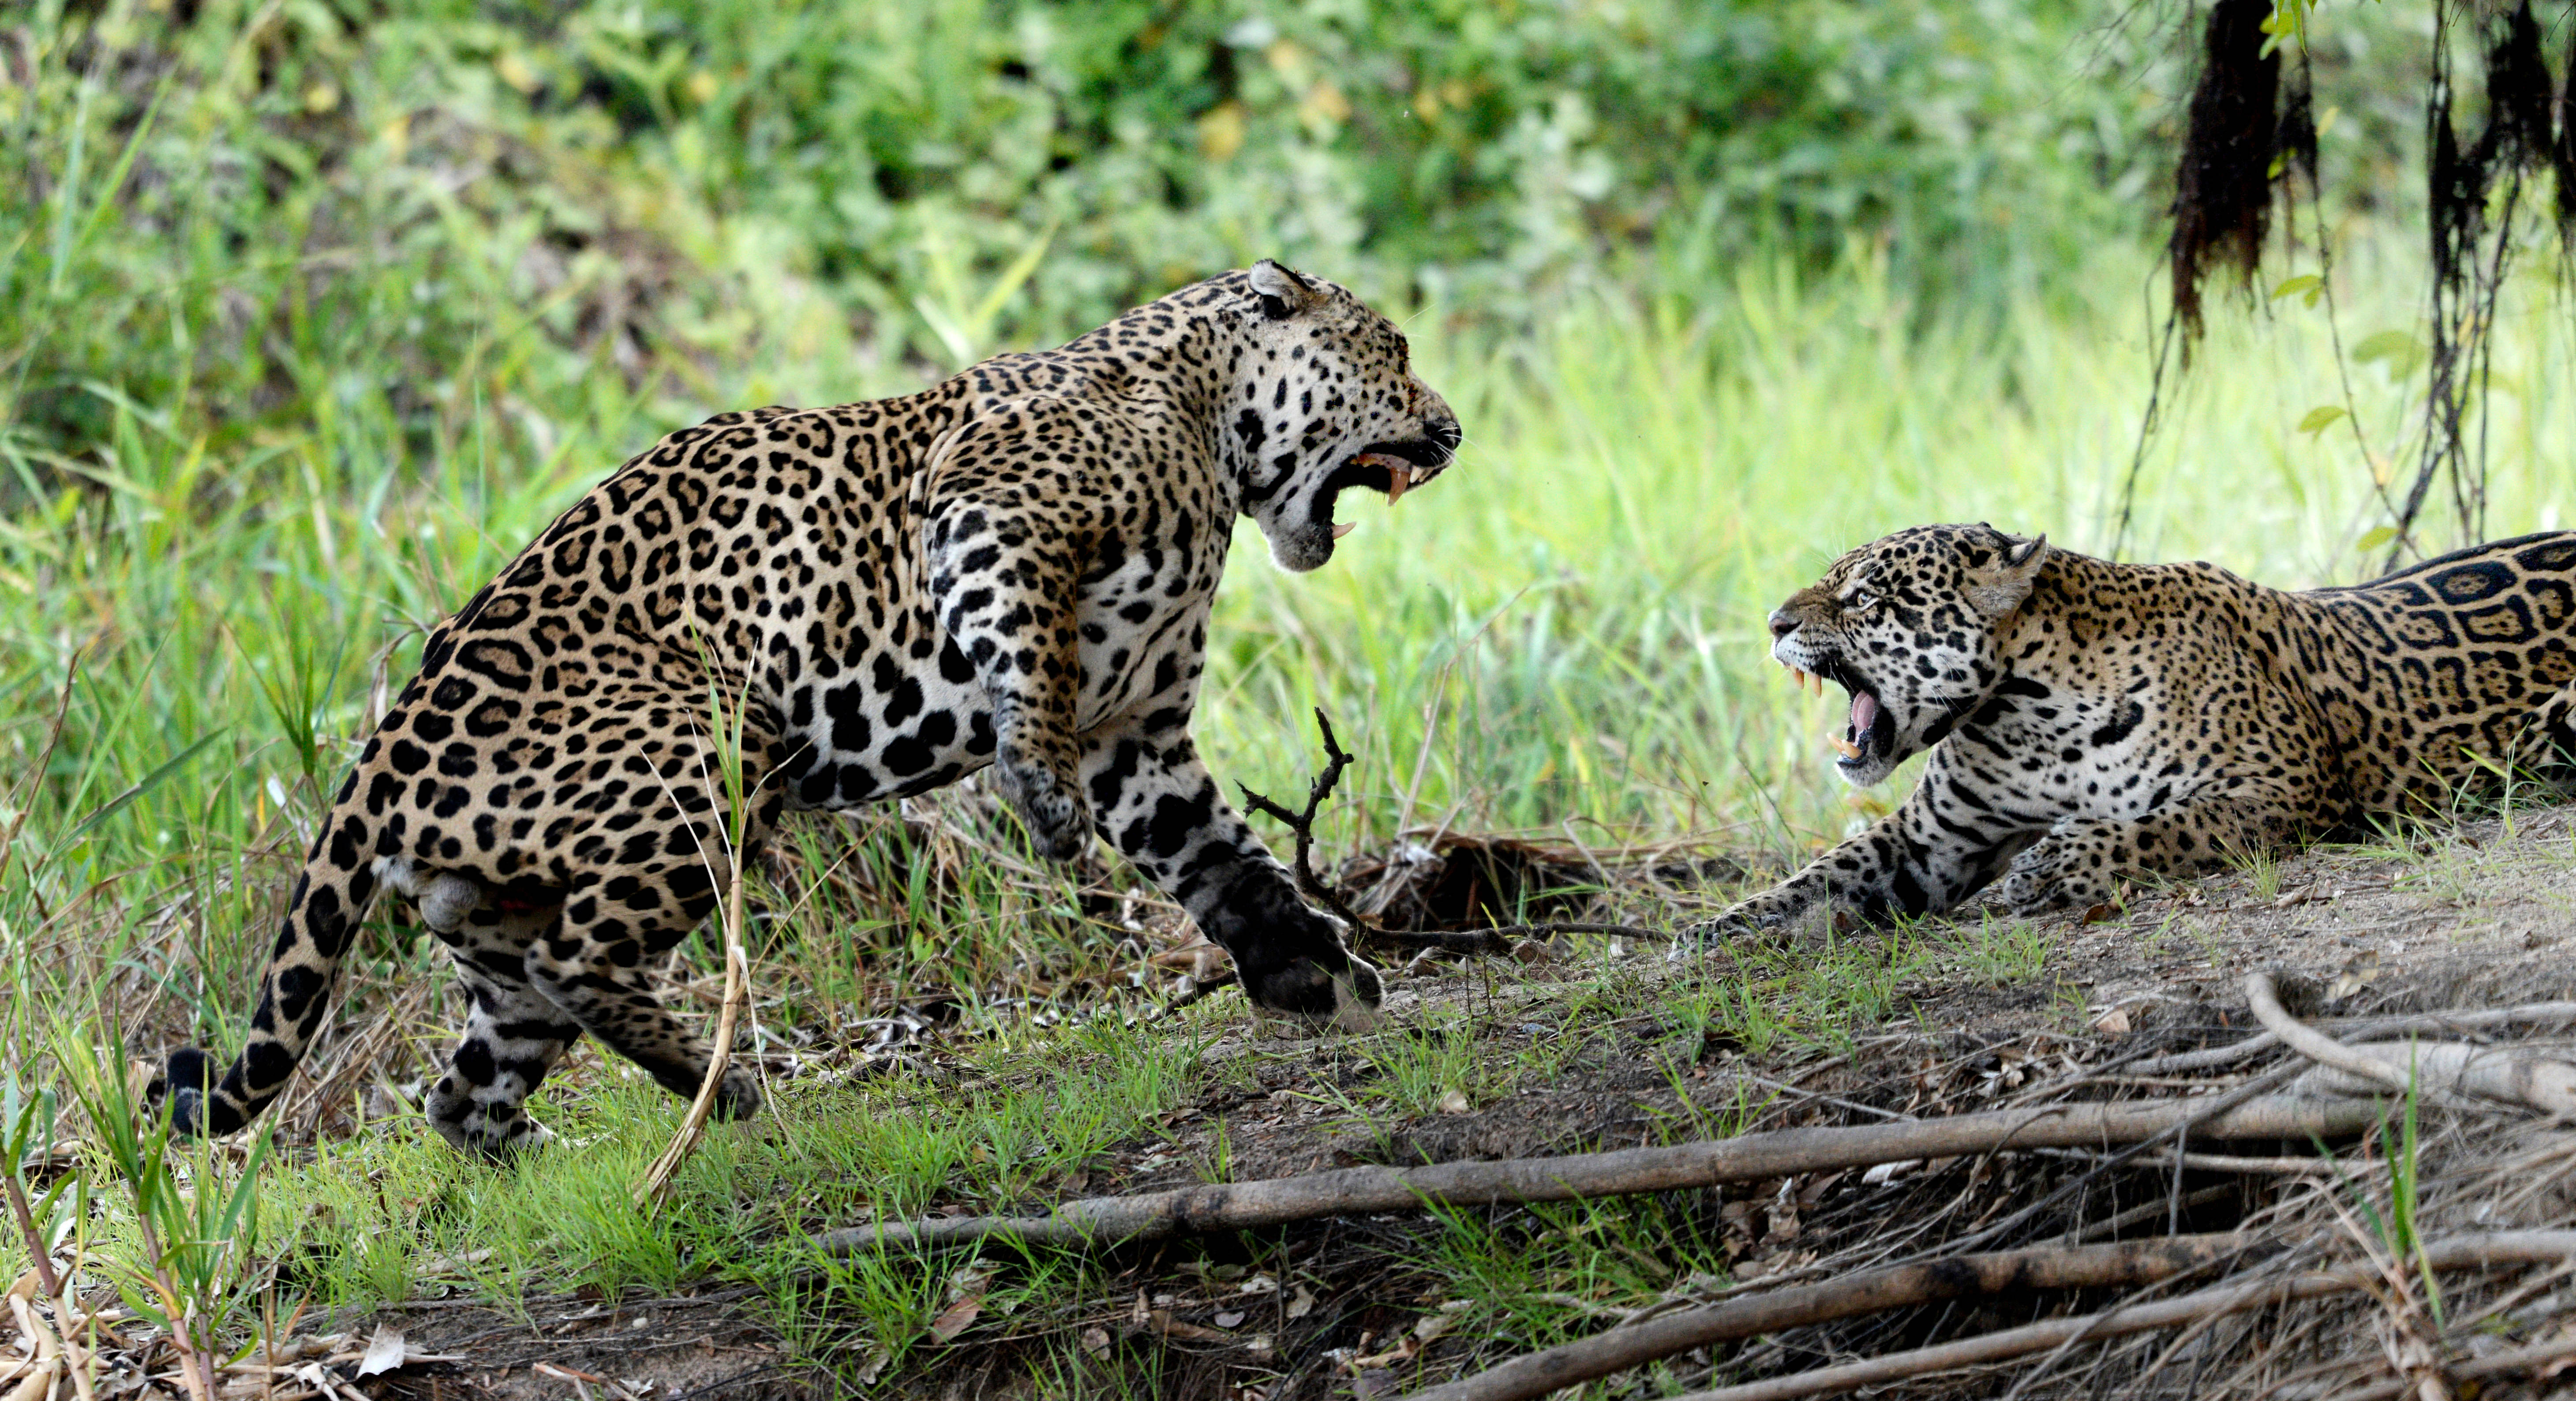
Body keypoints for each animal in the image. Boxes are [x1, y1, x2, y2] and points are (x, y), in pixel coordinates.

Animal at [154, 260, 1460, 1156]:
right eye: (1391, 347)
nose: (1449, 430)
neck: (1208, 432)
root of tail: (383, 748)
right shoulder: (994, 516)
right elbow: (1031, 668)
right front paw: (1043, 804)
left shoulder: (1135, 730)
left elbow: (1225, 860)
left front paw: (1309, 969)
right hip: (712, 748)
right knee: (580, 959)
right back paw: (734, 1091)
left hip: (494, 916)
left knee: (465, 1083)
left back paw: (559, 1162)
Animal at [1690, 523, 2576, 939]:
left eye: (1867, 599)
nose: (1773, 624)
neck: (2028, 717)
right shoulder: (1932, 838)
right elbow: (1819, 875)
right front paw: (1711, 934)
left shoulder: (2288, 786)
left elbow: (2162, 826)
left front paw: (2051, 869)